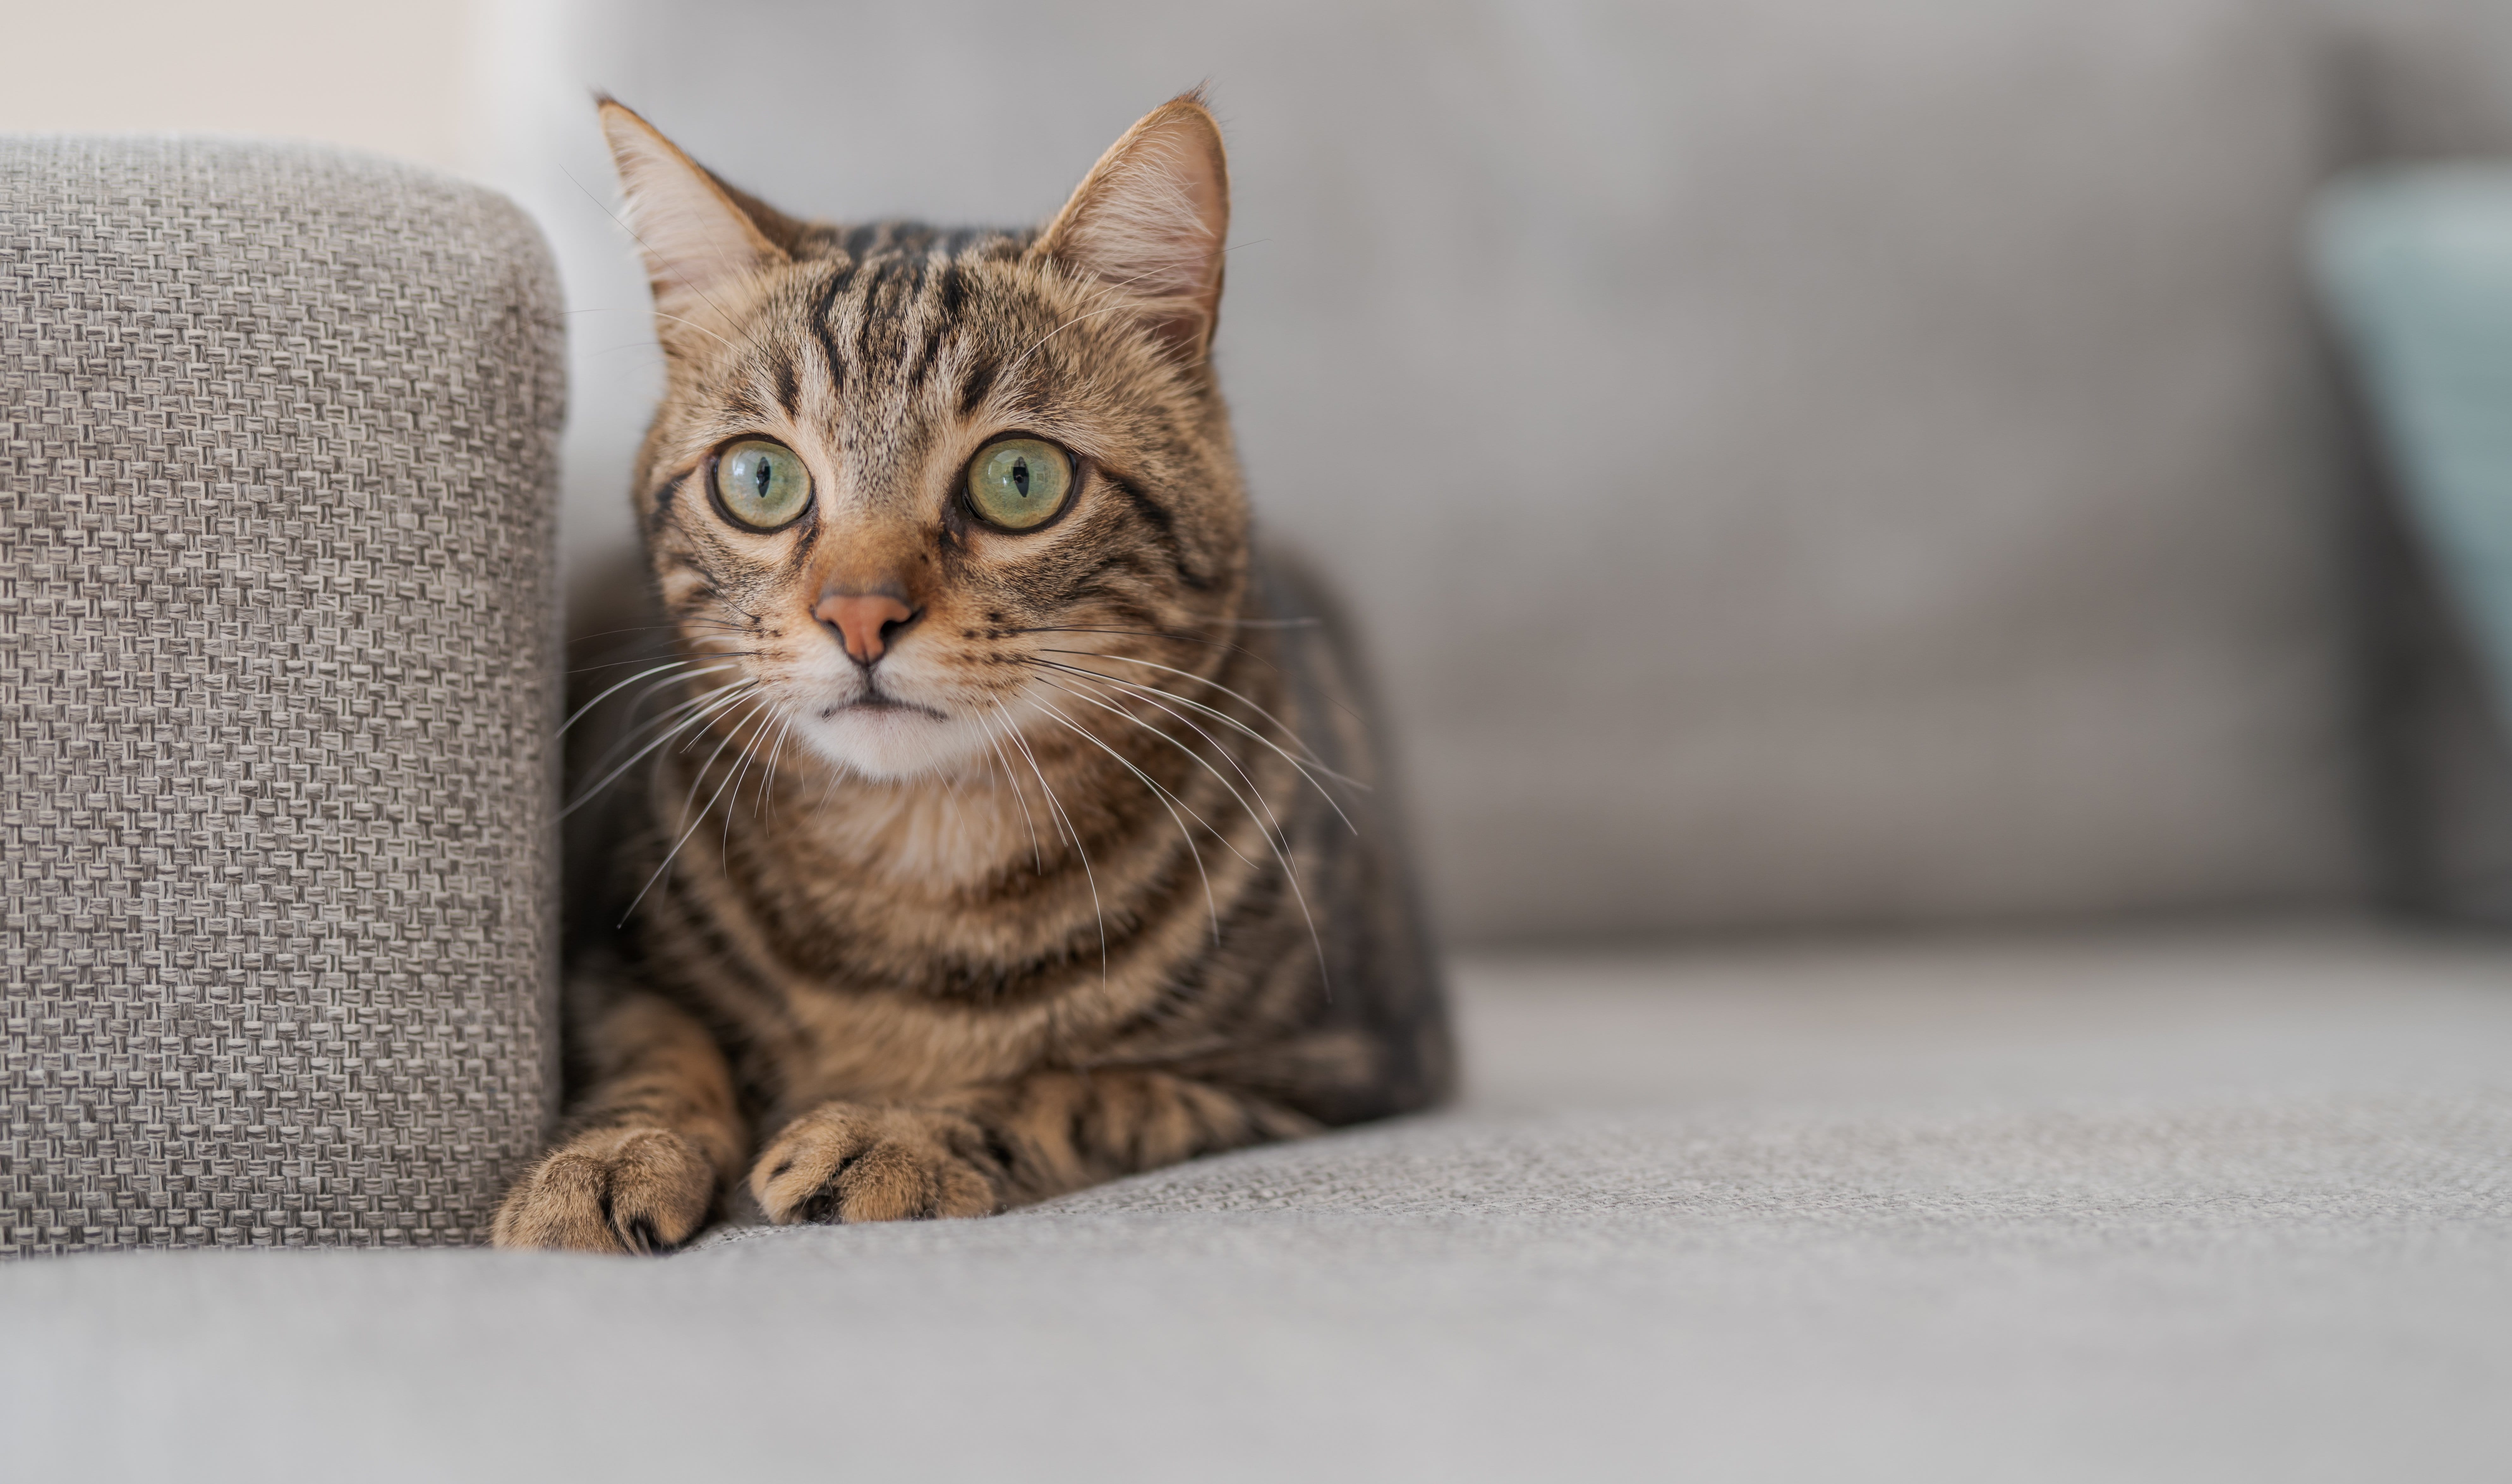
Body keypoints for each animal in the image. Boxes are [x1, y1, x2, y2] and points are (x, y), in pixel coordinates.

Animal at [492, 93, 1467, 1255]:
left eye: (1020, 478)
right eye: (759, 478)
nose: (859, 613)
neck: (916, 863)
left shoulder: (1335, 1066)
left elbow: (1083, 1089)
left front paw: (898, 1130)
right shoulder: (605, 966)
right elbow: (651, 1047)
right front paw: (604, 1155)